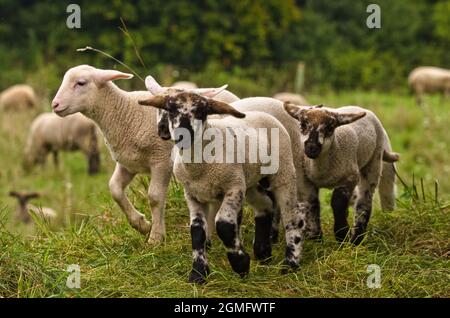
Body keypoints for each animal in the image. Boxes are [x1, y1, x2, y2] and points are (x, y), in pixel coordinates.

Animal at [51, 64, 241, 243]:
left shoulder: (161, 161)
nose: (55, 105)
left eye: (81, 83)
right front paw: (141, 225)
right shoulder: (128, 163)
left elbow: (154, 197)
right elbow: (115, 189)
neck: (125, 114)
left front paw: (156, 237)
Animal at [284, 103, 400, 245]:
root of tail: (359, 107)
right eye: (303, 124)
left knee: (364, 201)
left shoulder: (349, 178)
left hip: (374, 159)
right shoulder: (305, 182)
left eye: (329, 127)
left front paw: (342, 234)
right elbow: (312, 204)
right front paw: (316, 238)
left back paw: (357, 238)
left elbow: (337, 202)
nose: (311, 147)